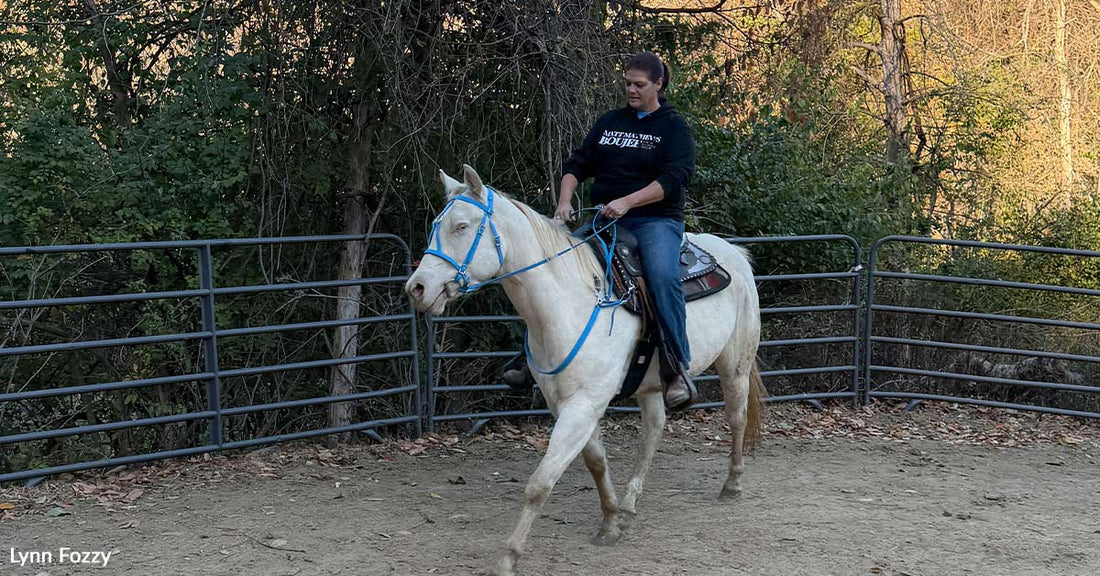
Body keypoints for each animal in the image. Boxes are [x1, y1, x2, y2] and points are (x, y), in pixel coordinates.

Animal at [405, 165, 764, 576]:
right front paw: (610, 520)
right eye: (437, 225)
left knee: (736, 418)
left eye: (462, 226)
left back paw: (732, 485)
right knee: (653, 431)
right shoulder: (568, 404)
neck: (567, 303)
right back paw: (629, 504)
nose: (417, 287)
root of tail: (734, 253)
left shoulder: (583, 405)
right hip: (652, 385)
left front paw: (508, 557)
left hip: (735, 365)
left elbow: (540, 483)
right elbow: (596, 463)